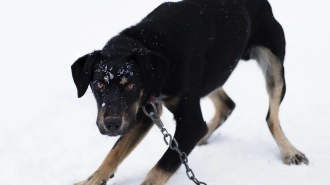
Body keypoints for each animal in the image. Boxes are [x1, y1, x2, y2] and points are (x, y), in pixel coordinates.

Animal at [71, 0, 308, 184]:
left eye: (131, 85)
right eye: (98, 85)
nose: (111, 124)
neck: (152, 45)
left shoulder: (188, 121)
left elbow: (160, 168)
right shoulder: (144, 111)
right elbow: (114, 154)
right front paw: (93, 179)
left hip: (274, 66)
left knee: (271, 117)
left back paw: (290, 151)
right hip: (213, 74)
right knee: (226, 104)